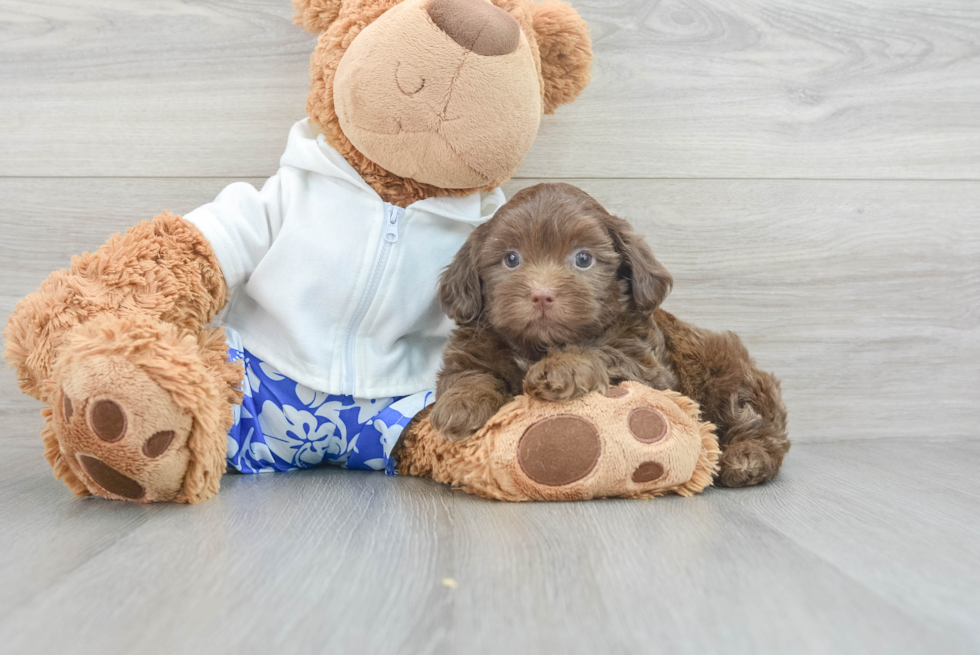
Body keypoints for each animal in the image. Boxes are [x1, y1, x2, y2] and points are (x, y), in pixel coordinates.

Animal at [428, 183, 788, 486]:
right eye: (511, 259)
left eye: (583, 259)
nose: (542, 294)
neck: (540, 345)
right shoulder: (472, 349)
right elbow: (469, 374)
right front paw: (459, 406)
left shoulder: (647, 369)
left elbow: (600, 352)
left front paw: (561, 368)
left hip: (725, 373)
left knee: (756, 421)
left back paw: (748, 458)